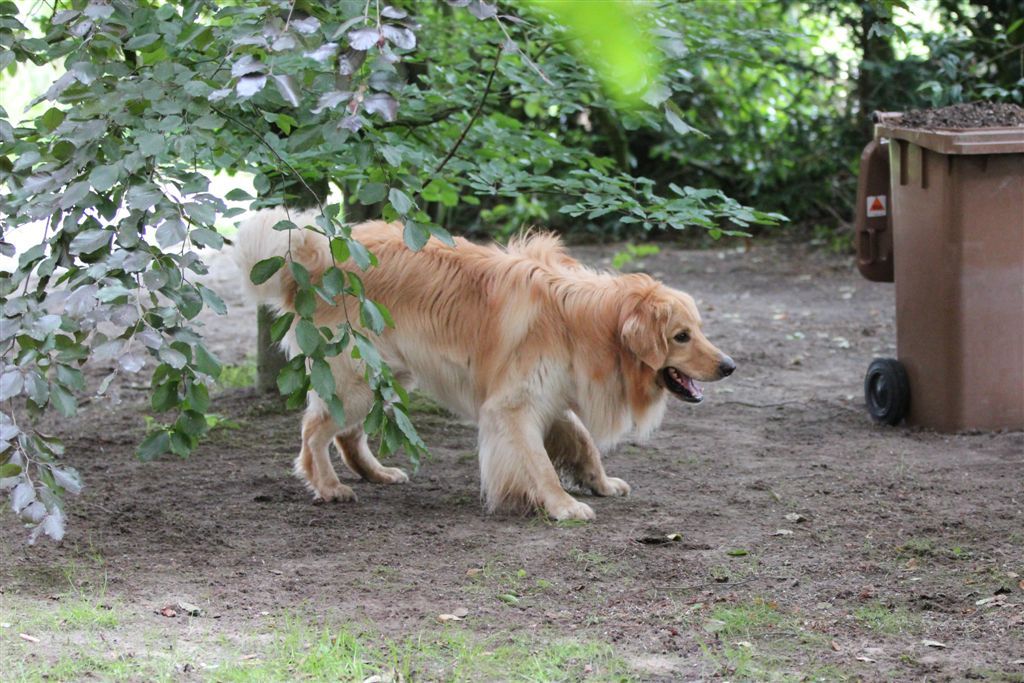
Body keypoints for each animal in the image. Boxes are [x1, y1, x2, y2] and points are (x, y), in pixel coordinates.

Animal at [234, 209, 735, 520]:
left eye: (699, 328)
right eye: (681, 336)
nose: (730, 366)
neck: (586, 322)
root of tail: (318, 258)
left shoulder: (549, 395)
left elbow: (583, 443)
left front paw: (602, 483)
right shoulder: (511, 406)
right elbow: (538, 463)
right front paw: (561, 505)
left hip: (385, 375)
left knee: (346, 433)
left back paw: (377, 473)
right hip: (356, 380)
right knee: (313, 432)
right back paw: (327, 486)